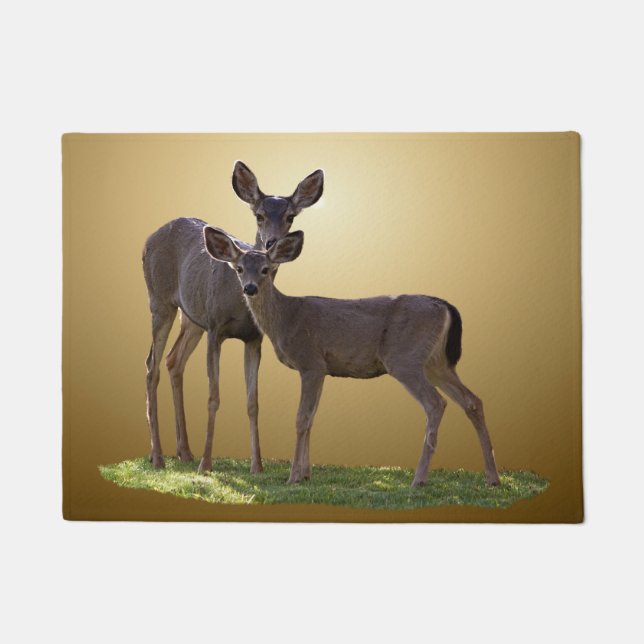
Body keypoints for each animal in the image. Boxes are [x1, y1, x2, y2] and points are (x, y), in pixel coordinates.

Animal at [142, 161, 324, 473]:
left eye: (290, 216)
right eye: (259, 215)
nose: (271, 243)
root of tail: (149, 238)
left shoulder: (253, 339)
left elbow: (253, 403)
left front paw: (257, 466)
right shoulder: (215, 328)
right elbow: (213, 396)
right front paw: (206, 464)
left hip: (192, 317)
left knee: (174, 360)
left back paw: (184, 452)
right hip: (160, 301)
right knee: (151, 365)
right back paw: (158, 456)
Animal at [203, 227, 501, 488]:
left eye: (266, 269)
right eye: (239, 269)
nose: (250, 288)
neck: (287, 318)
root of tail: (445, 306)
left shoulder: (310, 361)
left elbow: (301, 418)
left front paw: (293, 477)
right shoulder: (323, 368)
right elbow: (312, 418)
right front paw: (306, 474)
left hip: (405, 359)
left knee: (436, 403)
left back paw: (419, 480)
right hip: (437, 363)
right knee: (473, 401)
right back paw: (492, 478)